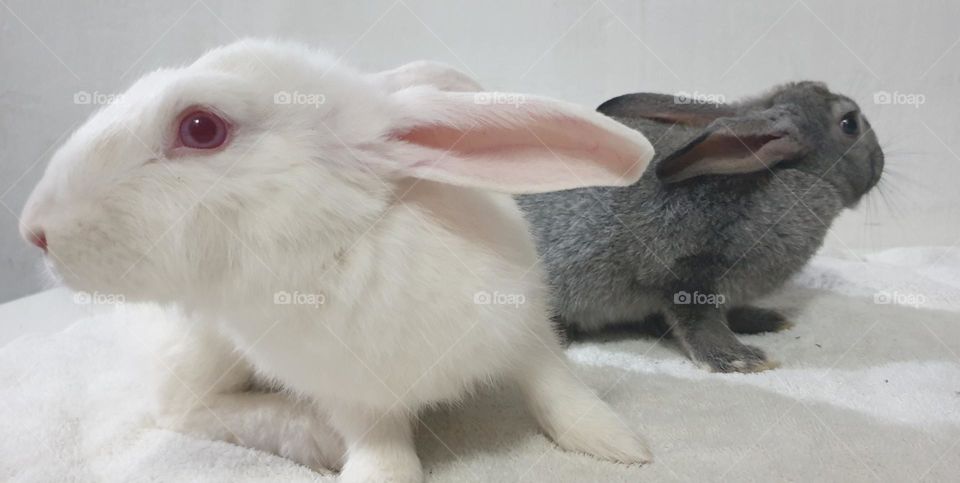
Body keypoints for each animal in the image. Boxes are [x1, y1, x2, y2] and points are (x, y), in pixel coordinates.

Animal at [18, 39, 656, 482]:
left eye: (200, 127)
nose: (33, 231)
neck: (348, 236)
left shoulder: (526, 330)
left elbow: (558, 389)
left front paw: (621, 446)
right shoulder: (352, 396)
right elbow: (386, 456)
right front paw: (360, 465)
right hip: (197, 349)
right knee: (179, 409)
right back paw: (310, 438)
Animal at [517, 82, 884, 373]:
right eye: (849, 123)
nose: (881, 162)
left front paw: (763, 321)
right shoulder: (686, 272)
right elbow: (699, 321)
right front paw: (740, 359)